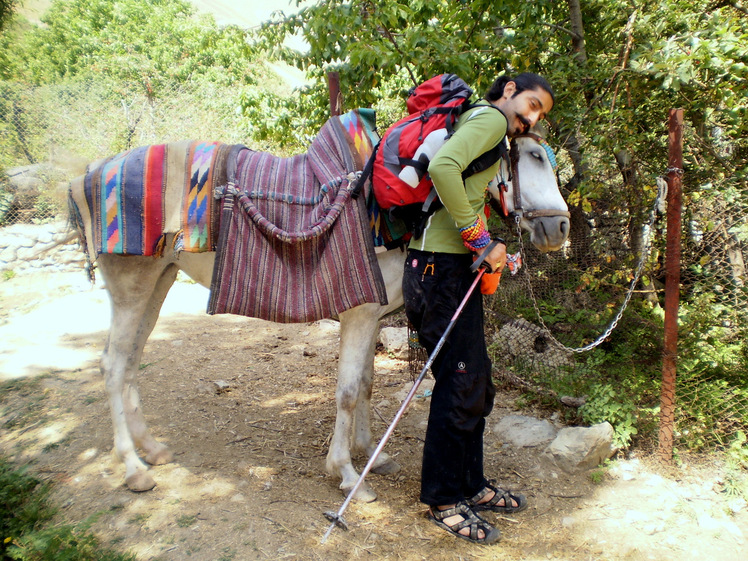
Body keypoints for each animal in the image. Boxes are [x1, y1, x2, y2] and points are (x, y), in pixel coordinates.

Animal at [67, 133, 568, 500]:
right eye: (533, 156)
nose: (560, 226)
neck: (395, 207)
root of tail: (87, 176)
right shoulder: (359, 315)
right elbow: (346, 392)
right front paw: (346, 473)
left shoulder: (372, 316)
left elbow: (364, 384)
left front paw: (371, 456)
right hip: (132, 287)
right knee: (112, 365)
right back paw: (133, 468)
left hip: (158, 282)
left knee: (131, 362)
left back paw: (151, 450)